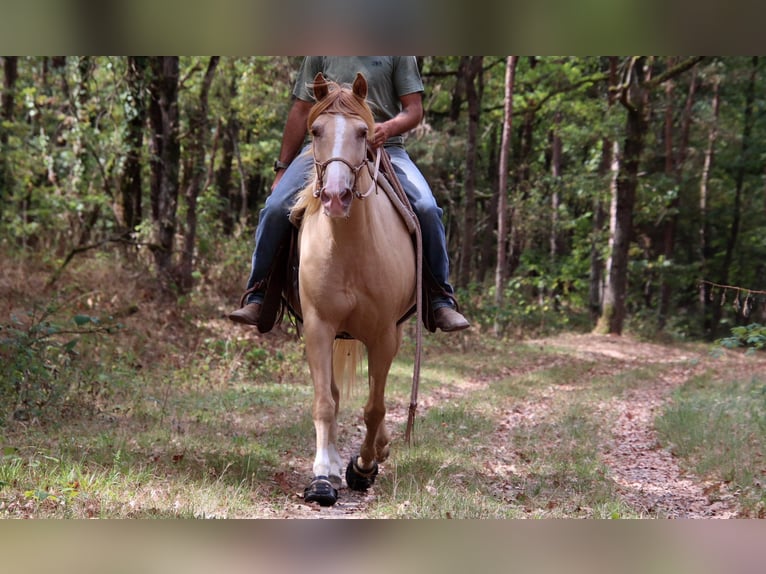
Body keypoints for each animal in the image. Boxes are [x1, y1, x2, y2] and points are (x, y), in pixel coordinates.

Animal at [290, 73, 417, 506]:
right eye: (315, 131)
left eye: (364, 133)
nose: (335, 196)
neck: (348, 248)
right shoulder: (317, 327)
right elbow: (325, 402)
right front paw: (322, 478)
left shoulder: (383, 335)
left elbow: (375, 407)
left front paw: (363, 467)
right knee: (333, 393)